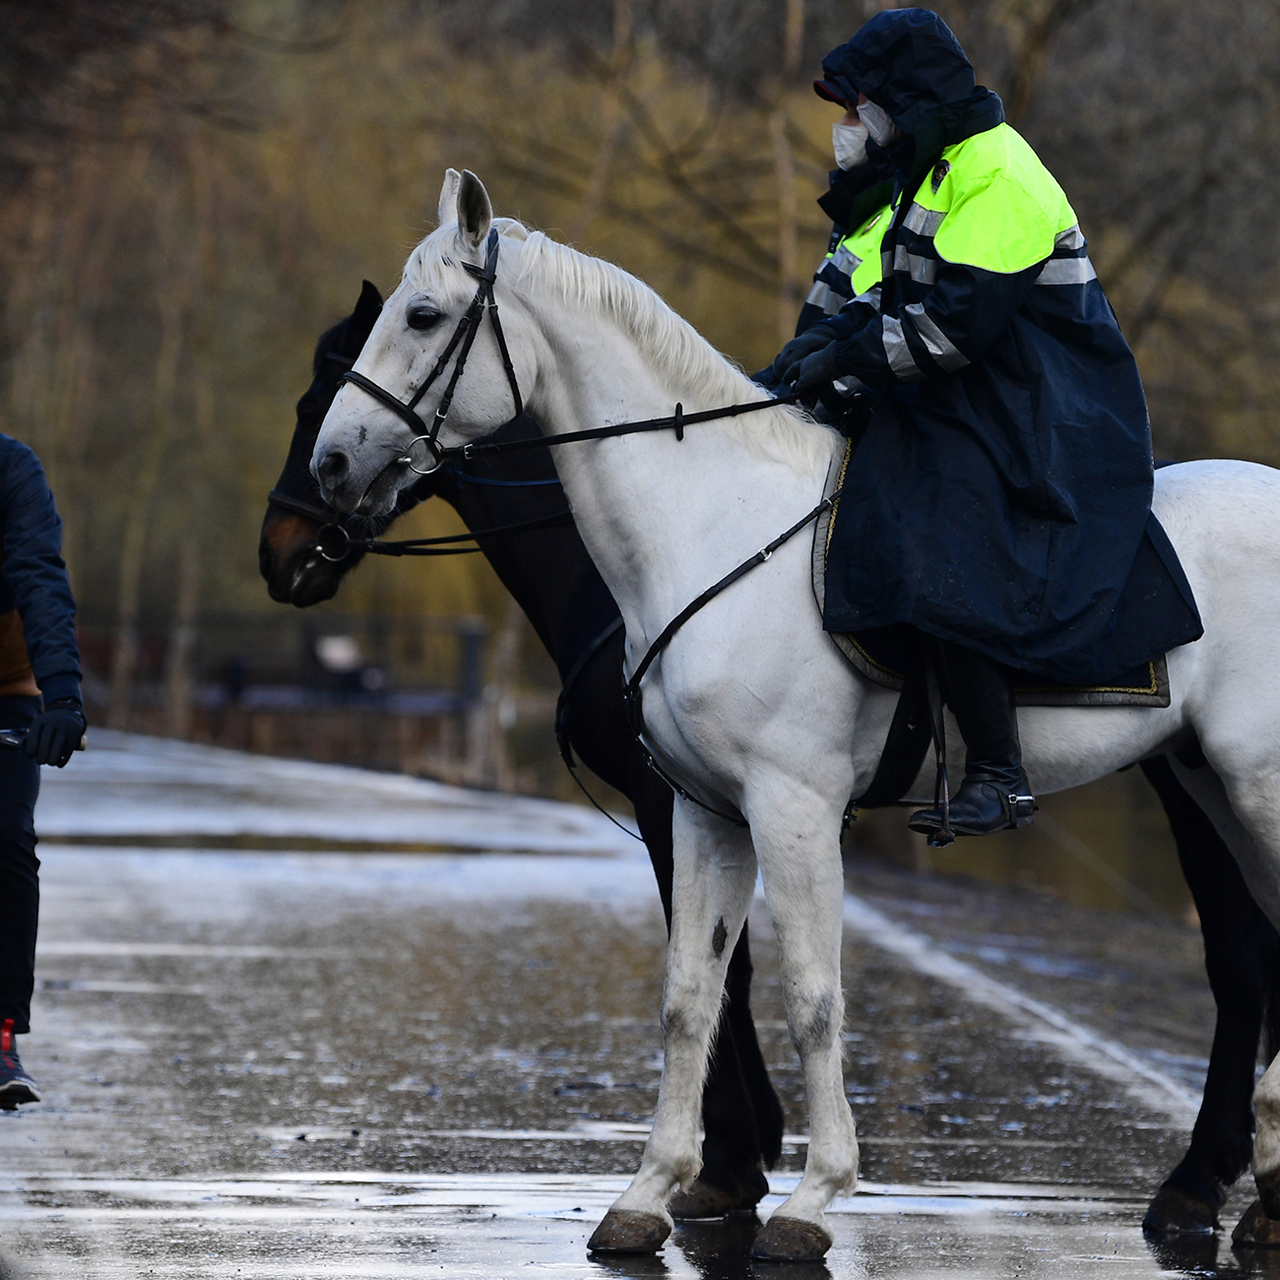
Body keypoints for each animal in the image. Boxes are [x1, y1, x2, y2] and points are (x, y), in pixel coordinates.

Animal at [312, 170, 1280, 1259]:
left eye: (423, 316)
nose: (329, 468)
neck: (708, 523)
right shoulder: (704, 811)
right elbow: (689, 997)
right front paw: (653, 1188)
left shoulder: (794, 808)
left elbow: (811, 997)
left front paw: (811, 1195)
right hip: (1203, 780)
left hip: (1250, 783)